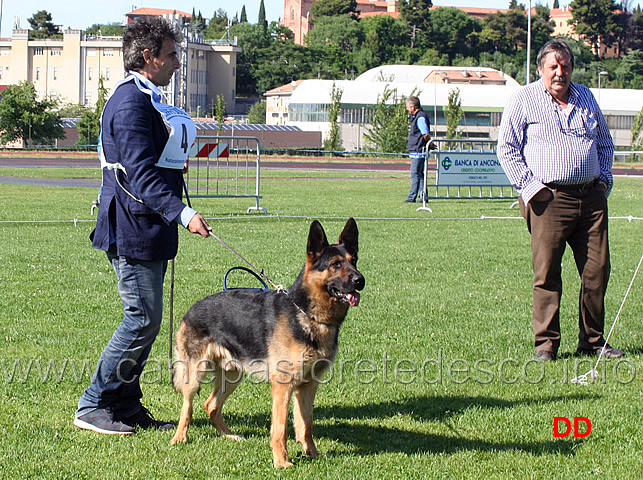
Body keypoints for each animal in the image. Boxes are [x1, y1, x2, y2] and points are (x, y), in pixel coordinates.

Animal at [169, 219, 364, 466]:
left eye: (353, 260)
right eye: (335, 264)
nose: (360, 280)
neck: (307, 314)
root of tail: (191, 309)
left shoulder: (308, 385)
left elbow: (306, 425)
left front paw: (312, 454)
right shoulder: (283, 385)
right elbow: (280, 427)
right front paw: (281, 462)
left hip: (233, 376)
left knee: (210, 405)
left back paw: (229, 435)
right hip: (195, 375)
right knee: (188, 406)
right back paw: (179, 438)